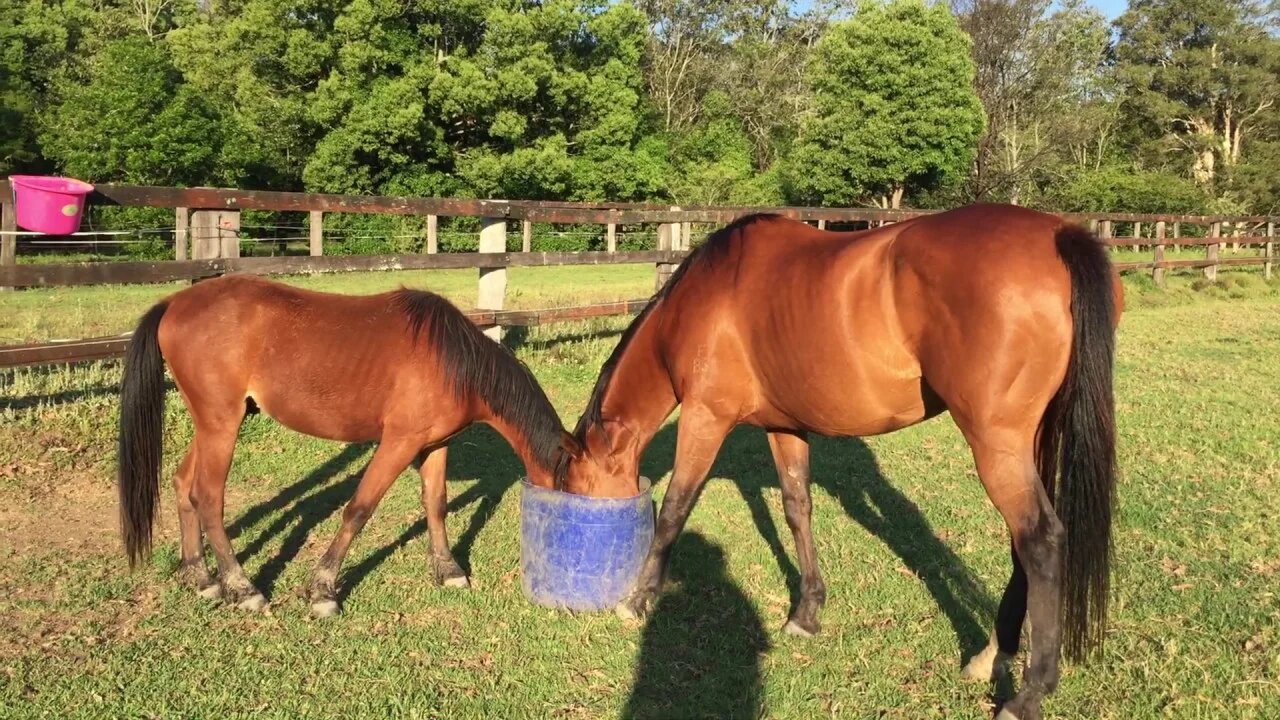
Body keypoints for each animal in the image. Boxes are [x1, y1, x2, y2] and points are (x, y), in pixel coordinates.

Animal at [115, 274, 576, 617]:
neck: (454, 362)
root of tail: (173, 302)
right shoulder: (398, 444)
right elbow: (359, 510)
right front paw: (322, 590)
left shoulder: (434, 446)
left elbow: (436, 505)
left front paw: (448, 570)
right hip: (221, 427)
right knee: (208, 498)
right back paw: (242, 587)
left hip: (214, 424)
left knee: (182, 485)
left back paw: (201, 576)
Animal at [560, 202, 1121, 717]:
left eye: (576, 487)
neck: (706, 297)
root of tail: (1059, 234)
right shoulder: (785, 426)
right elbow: (796, 509)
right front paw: (806, 614)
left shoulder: (705, 417)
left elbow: (676, 507)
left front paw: (637, 600)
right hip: (1032, 439)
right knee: (1022, 542)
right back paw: (991, 655)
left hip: (995, 442)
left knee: (1041, 540)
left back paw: (1027, 695)